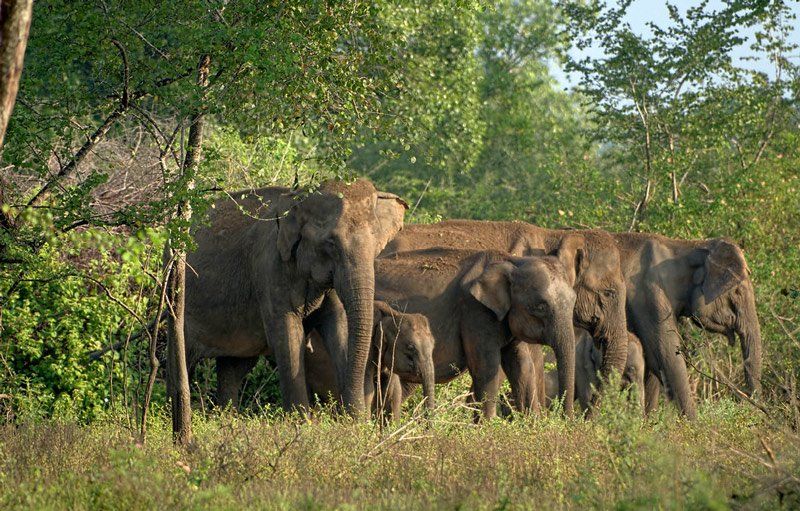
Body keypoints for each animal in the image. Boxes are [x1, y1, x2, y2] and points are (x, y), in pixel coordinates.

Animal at [169, 179, 407, 415]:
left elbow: (338, 326)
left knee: (233, 367)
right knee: (183, 360)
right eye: (331, 243)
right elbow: (288, 335)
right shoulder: (270, 269)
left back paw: (226, 417)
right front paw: (301, 420)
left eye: (376, 240)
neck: (298, 198)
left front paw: (355, 420)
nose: (362, 413)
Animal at [305, 301, 436, 417]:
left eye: (433, 344)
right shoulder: (367, 352)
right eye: (410, 347)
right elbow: (367, 389)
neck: (391, 314)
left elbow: (393, 392)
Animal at [376, 247, 578, 418]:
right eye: (540, 306)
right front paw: (487, 426)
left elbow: (522, 365)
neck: (511, 261)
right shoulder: (475, 311)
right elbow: (486, 367)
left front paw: (532, 424)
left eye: (574, 300)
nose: (566, 420)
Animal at [610, 234, 761, 418]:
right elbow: (667, 356)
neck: (687, 246)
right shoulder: (649, 297)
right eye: (737, 292)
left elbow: (653, 362)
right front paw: (695, 425)